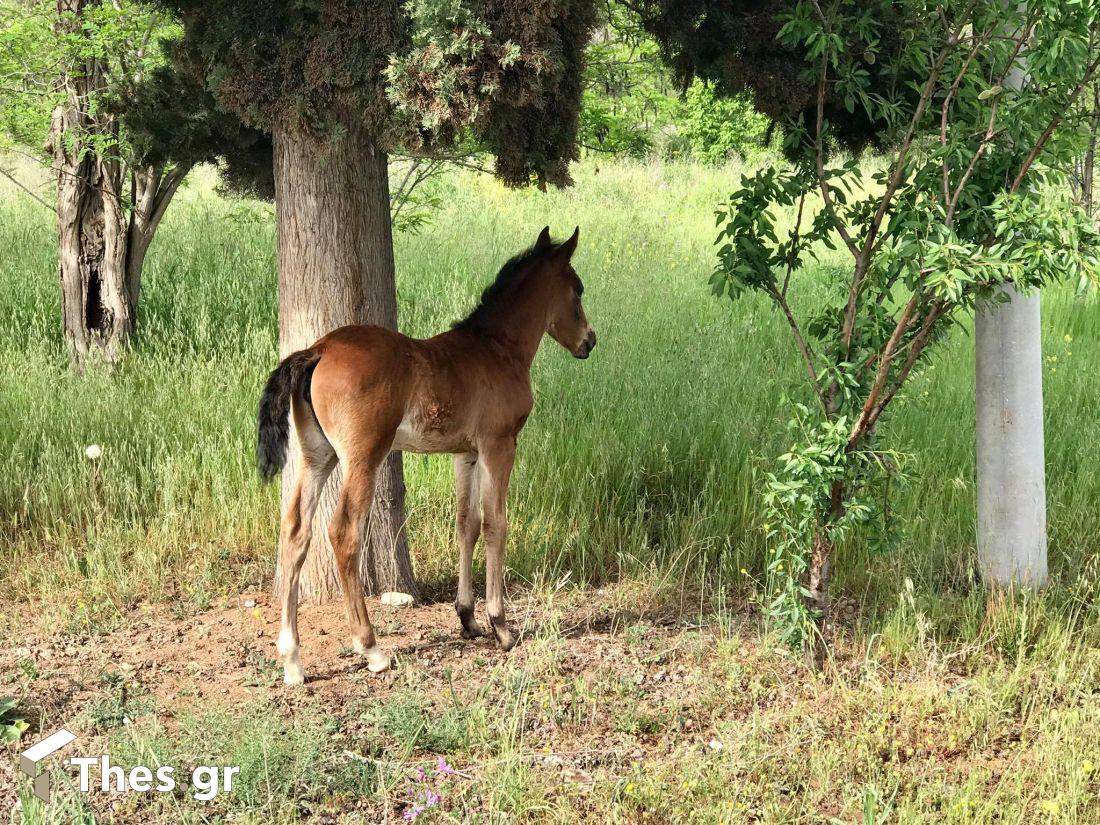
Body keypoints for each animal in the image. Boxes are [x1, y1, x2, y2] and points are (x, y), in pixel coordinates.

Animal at [257, 224, 598, 686]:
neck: (497, 348)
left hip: (316, 455)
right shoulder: (499, 444)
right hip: (363, 455)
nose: (589, 342)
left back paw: (292, 659)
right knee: (343, 531)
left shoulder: (465, 453)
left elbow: (466, 524)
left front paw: (467, 618)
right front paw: (501, 626)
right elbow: (496, 524)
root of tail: (319, 350)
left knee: (295, 531)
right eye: (577, 289)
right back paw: (371, 648)